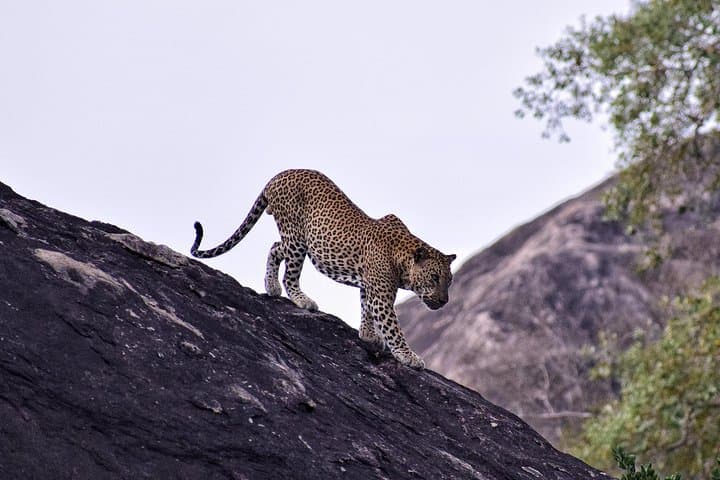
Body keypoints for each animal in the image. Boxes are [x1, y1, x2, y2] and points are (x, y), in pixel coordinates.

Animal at [190, 169, 456, 369]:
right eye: (434, 277)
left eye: (449, 281)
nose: (444, 301)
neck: (403, 260)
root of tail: (277, 176)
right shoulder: (381, 295)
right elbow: (392, 327)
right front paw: (408, 356)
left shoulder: (369, 287)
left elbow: (365, 309)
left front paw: (368, 335)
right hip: (296, 238)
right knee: (288, 270)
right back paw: (300, 299)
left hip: (294, 239)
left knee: (275, 248)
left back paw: (271, 287)